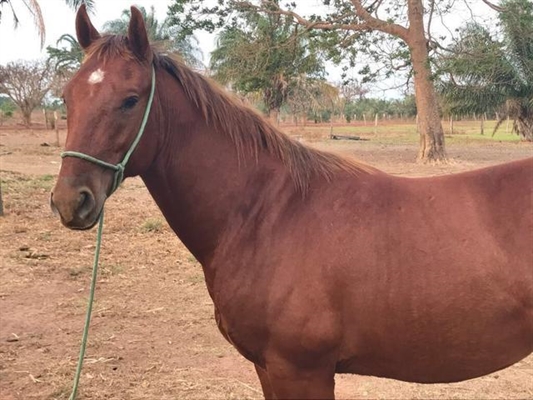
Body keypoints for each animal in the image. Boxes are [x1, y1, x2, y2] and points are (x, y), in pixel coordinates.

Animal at [51, 6, 532, 400]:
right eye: (68, 98)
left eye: (130, 100)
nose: (71, 201)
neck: (269, 214)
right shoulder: (269, 369)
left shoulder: (301, 371)